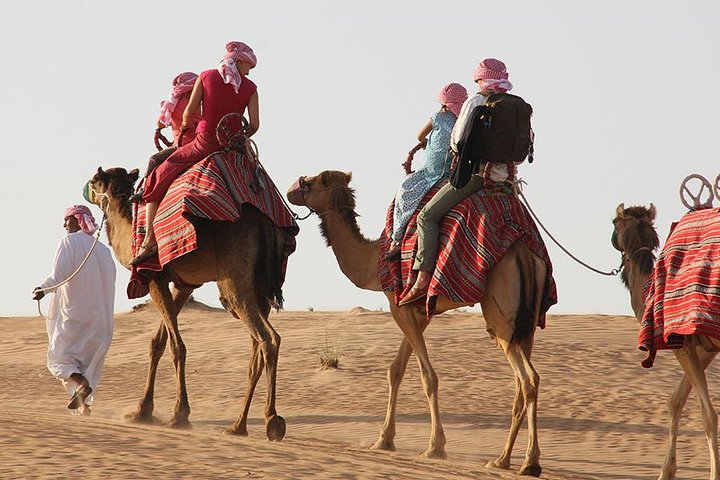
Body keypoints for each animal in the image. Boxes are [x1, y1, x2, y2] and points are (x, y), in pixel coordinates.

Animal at [85, 166, 290, 441]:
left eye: (95, 180)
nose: (87, 191)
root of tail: (263, 225)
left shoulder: (155, 279)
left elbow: (176, 346)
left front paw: (179, 415)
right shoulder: (184, 285)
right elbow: (157, 343)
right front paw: (142, 411)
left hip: (235, 284)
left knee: (268, 339)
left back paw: (272, 420)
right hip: (260, 290)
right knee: (256, 352)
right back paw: (237, 426)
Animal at [287, 170, 551, 477]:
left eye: (313, 181)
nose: (292, 188)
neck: (373, 259)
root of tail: (524, 253)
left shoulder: (397, 304)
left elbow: (427, 377)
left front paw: (435, 447)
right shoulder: (419, 311)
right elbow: (396, 370)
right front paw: (383, 440)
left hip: (501, 319)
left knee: (528, 378)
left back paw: (529, 462)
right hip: (526, 322)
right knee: (522, 383)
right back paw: (502, 459)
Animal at [612, 203, 720, 480]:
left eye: (614, 224)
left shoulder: (680, 341)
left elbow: (707, 413)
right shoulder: (707, 347)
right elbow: (675, 400)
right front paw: (666, 471)